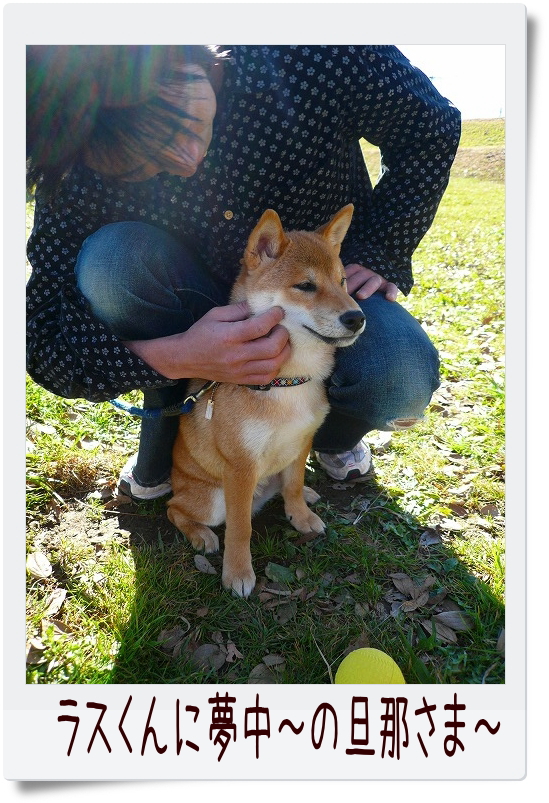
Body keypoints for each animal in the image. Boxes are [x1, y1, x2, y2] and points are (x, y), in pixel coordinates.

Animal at [167, 204, 365, 597]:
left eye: (342, 282)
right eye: (305, 285)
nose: (357, 317)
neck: (287, 383)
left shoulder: (303, 440)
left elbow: (293, 485)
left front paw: (301, 515)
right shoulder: (241, 466)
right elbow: (240, 528)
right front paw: (238, 573)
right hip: (212, 499)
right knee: (173, 507)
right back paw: (199, 535)